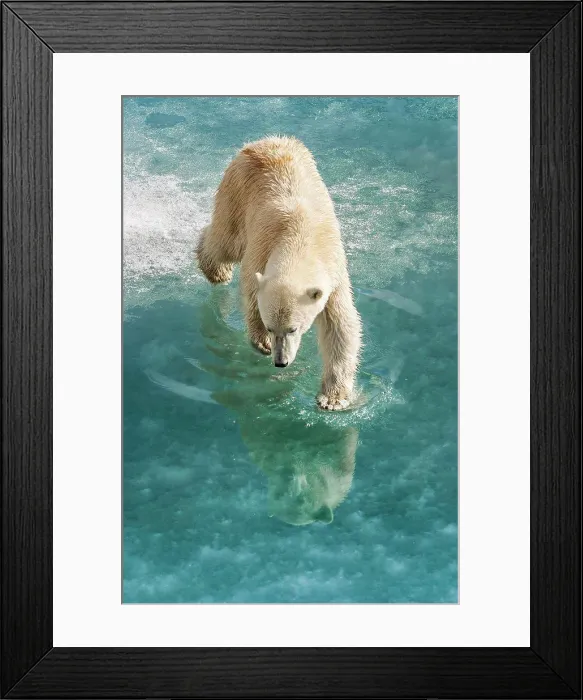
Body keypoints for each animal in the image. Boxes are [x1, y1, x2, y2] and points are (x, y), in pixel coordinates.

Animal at [196, 135, 362, 410]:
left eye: (293, 329)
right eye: (271, 327)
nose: (280, 362)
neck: (301, 238)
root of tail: (266, 141)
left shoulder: (334, 274)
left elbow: (340, 327)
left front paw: (333, 399)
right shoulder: (262, 249)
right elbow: (252, 293)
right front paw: (261, 342)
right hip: (237, 191)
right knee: (226, 240)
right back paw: (215, 271)